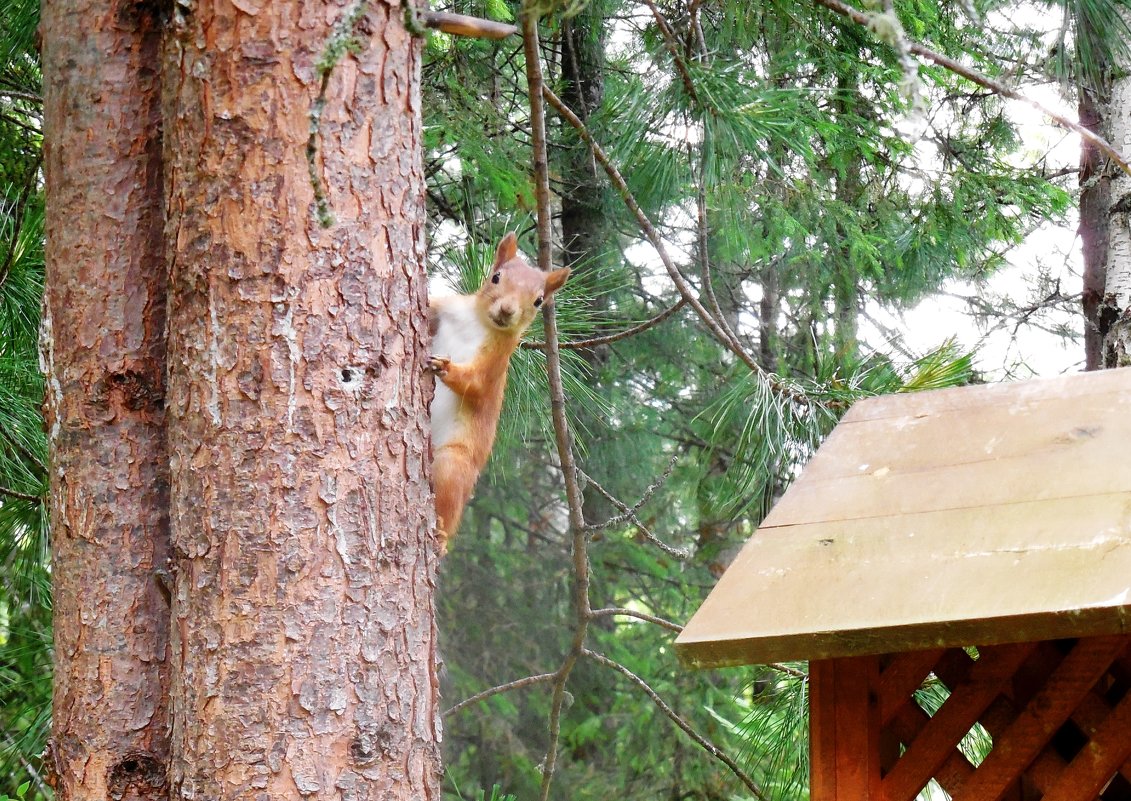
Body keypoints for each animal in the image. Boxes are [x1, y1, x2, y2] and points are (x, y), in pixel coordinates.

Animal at [427, 233, 570, 549]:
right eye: (496, 277)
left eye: (539, 300)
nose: (507, 310)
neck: (478, 322)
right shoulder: (446, 307)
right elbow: (430, 304)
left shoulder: (496, 363)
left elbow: (476, 384)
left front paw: (445, 367)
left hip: (452, 464)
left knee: (448, 501)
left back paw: (441, 535)